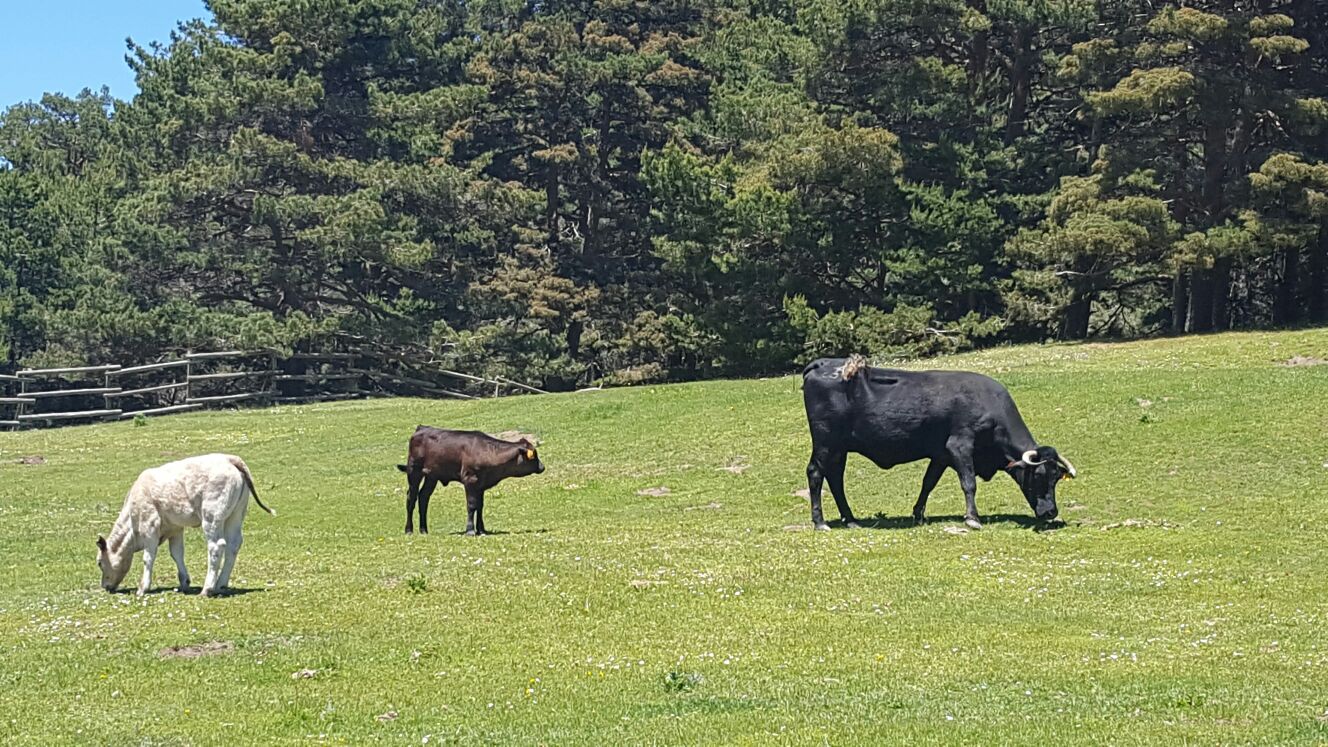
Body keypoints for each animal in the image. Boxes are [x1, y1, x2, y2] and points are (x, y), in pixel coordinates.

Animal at [98, 451, 277, 595]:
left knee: (216, 546)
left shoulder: (149, 524)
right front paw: (184, 582)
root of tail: (229, 458)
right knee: (233, 544)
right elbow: (177, 553)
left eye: (99, 563)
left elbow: (148, 557)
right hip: (236, 514)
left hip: (212, 516)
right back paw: (220, 584)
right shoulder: (175, 529)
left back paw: (207, 589)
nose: (105, 586)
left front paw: (143, 588)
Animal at [393, 425, 544, 534]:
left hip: (432, 476)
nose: (542, 467)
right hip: (414, 471)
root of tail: (421, 428)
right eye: (534, 456)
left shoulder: (481, 485)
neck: (487, 452)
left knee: (423, 498)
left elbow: (480, 506)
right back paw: (409, 530)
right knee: (411, 498)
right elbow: (472, 505)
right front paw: (470, 530)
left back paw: (424, 529)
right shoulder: (470, 480)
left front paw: (482, 530)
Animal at [802, 353, 1073, 529]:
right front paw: (972, 518)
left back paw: (850, 519)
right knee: (815, 473)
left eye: (1056, 477)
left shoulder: (941, 455)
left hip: (839, 448)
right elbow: (968, 482)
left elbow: (928, 483)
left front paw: (918, 514)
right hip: (826, 443)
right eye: (1039, 476)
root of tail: (822, 363)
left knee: (835, 478)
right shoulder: (960, 446)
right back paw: (820, 522)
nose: (1051, 512)